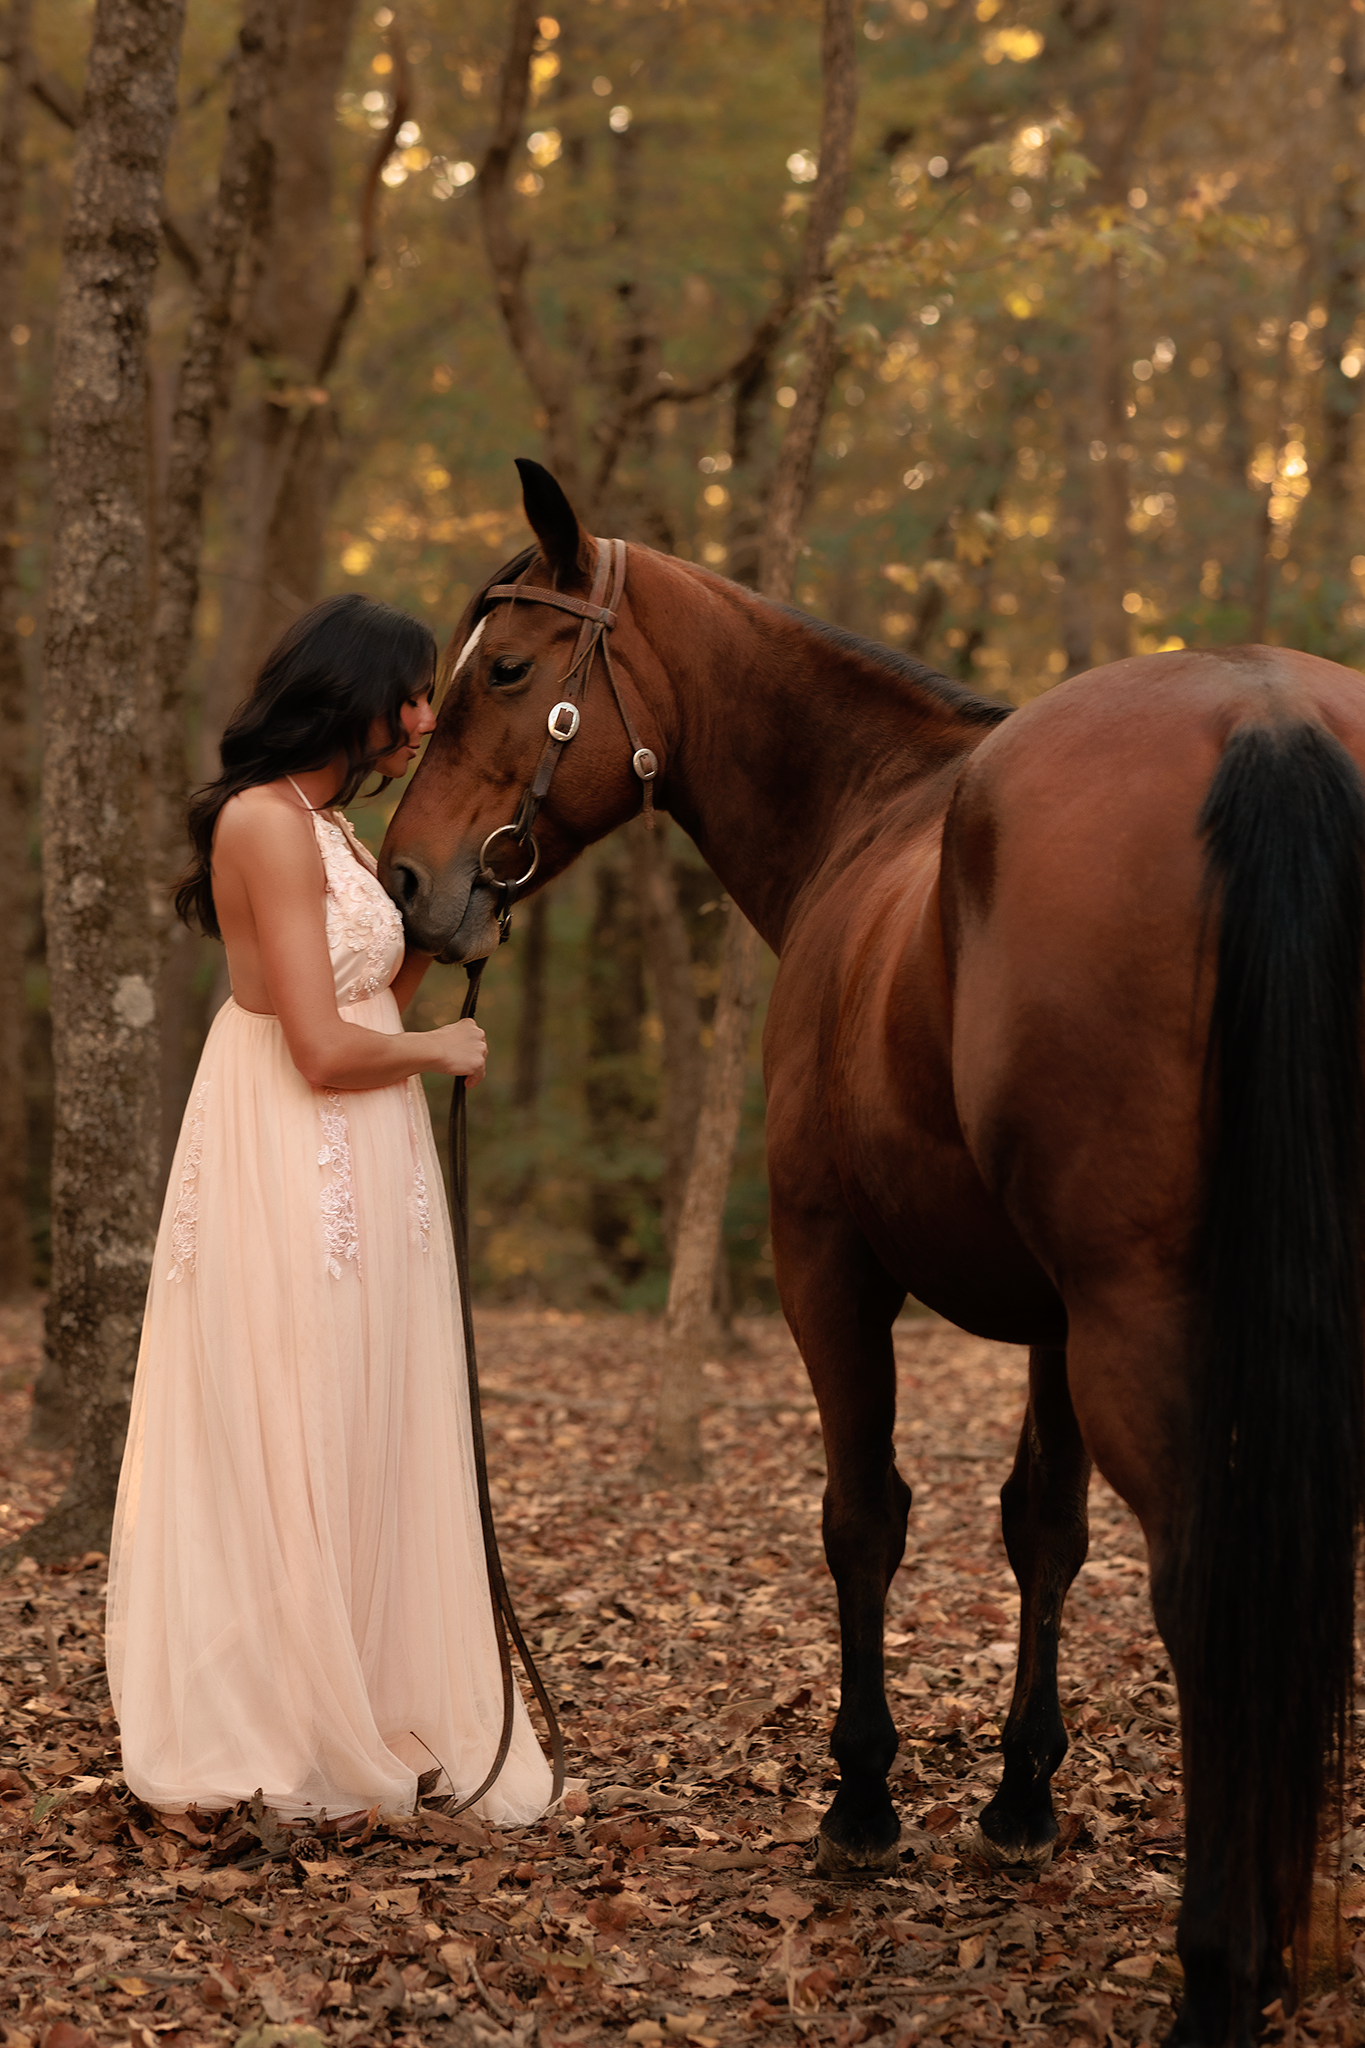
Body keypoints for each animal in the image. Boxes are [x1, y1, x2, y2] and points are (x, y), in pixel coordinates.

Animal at [379, 457, 1365, 2047]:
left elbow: (865, 1519)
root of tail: (1270, 719)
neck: (879, 816)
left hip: (1134, 1315)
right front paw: (1020, 1797)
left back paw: (1224, 1964)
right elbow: (1041, 1530)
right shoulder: (1048, 1321)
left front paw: (860, 1797)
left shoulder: (828, 1263)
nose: (408, 881)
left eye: (509, 672)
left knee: (1208, 1588)